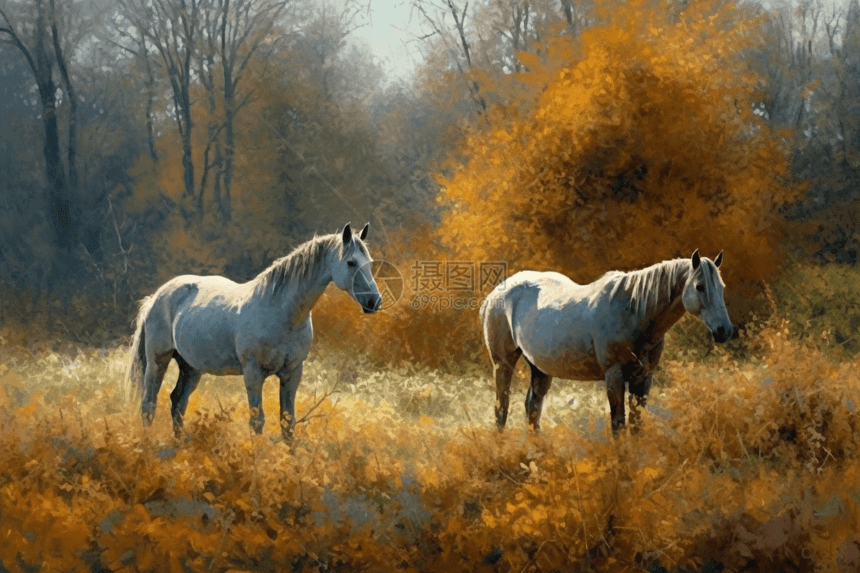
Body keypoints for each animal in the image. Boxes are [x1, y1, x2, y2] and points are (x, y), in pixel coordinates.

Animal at [126, 222, 382, 438]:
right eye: (351, 262)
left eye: (369, 261)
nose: (374, 301)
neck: (279, 311)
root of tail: (157, 296)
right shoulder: (253, 374)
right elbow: (257, 422)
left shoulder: (292, 374)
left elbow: (287, 423)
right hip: (158, 360)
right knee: (149, 404)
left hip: (191, 368)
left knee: (178, 403)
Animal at [480, 250, 728, 434]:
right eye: (699, 286)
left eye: (721, 287)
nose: (724, 330)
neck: (634, 312)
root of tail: (496, 293)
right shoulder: (614, 375)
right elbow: (618, 423)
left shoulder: (644, 377)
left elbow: (637, 424)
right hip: (503, 363)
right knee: (501, 408)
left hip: (540, 368)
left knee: (533, 407)